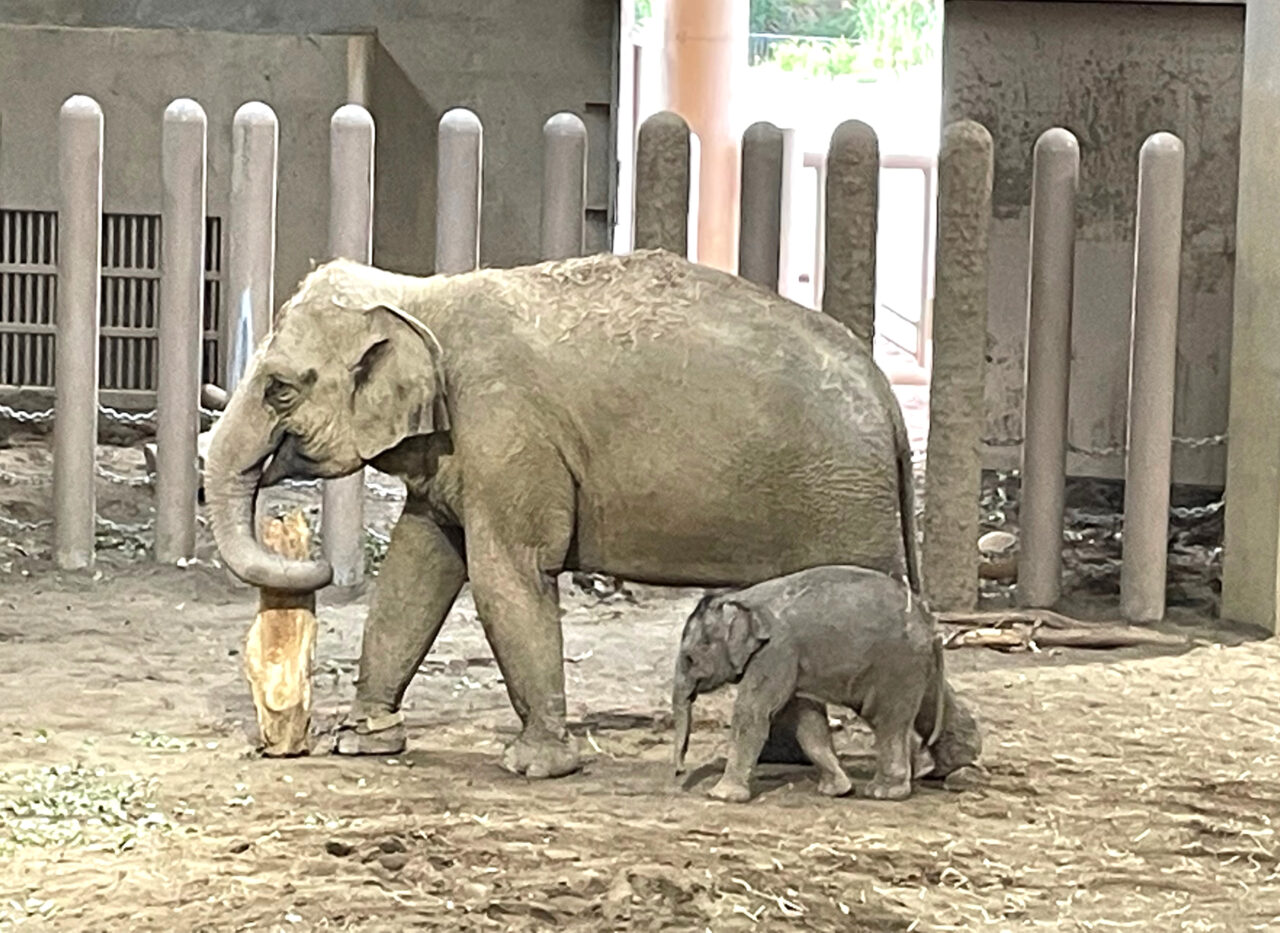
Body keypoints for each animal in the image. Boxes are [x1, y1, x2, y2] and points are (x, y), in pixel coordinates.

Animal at [202, 247, 921, 778]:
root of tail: (886, 395)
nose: (316, 564)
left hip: (842, 501)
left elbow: (507, 573)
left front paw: (535, 765)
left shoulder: (507, 430)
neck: (420, 294)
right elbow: (419, 566)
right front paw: (363, 742)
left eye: (279, 389)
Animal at [670, 560, 977, 798]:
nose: (678, 773)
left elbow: (753, 714)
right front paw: (837, 790)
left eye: (690, 658)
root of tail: (929, 623)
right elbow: (808, 722)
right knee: (931, 704)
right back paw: (952, 769)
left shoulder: (777, 651)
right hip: (916, 664)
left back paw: (885, 792)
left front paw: (720, 796)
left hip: (896, 664)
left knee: (887, 719)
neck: (742, 598)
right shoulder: (791, 662)